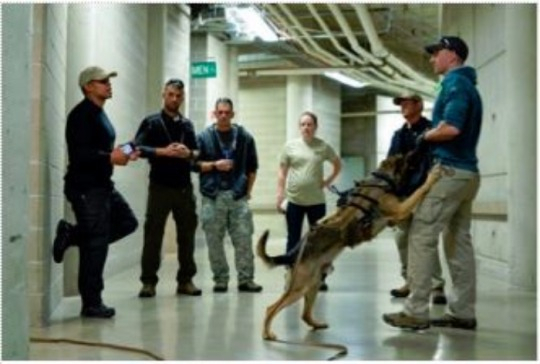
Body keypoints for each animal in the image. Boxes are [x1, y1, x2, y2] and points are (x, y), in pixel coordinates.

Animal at [260, 152, 440, 340]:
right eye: (406, 156)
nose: (423, 152)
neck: (383, 178)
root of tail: (296, 251)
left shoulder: (398, 216)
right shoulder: (400, 209)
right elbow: (418, 192)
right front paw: (431, 178)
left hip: (313, 283)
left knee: (304, 314)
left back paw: (316, 324)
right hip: (299, 287)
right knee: (271, 309)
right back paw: (267, 333)